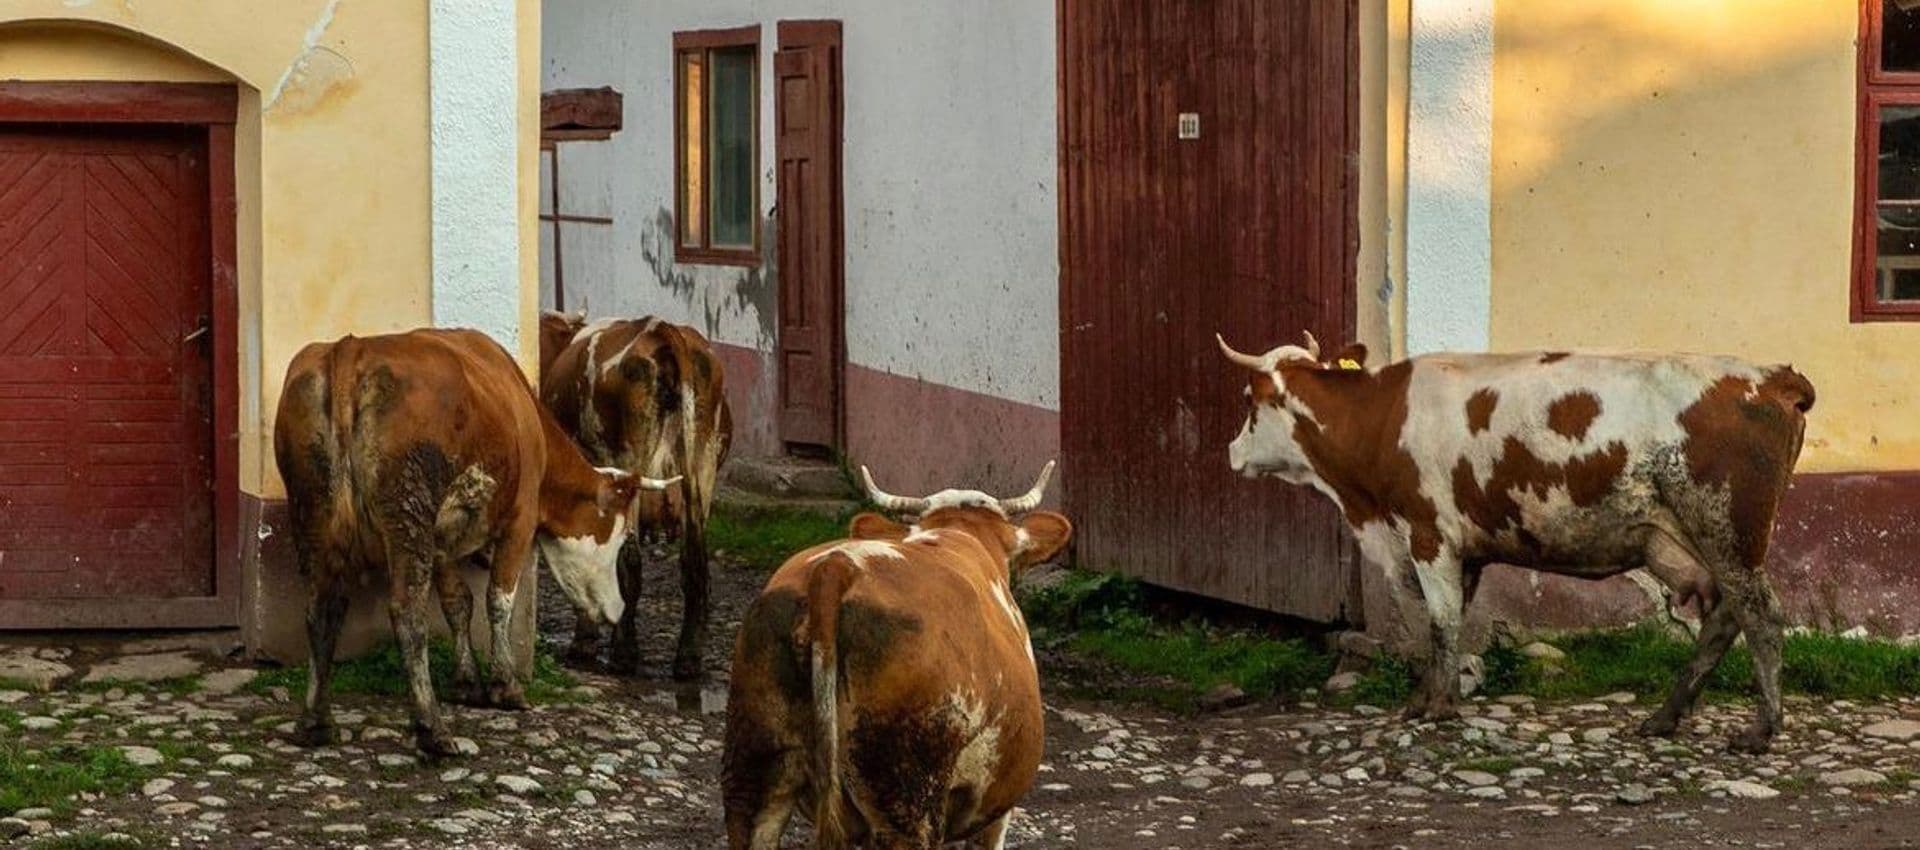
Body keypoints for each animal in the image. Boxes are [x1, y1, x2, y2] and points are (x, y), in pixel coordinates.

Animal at [274, 328, 677, 756]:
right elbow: (498, 599)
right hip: (407, 513)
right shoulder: (520, 520)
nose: (617, 609)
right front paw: (506, 685)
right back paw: (431, 728)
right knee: (407, 612)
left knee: (323, 608)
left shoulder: (441, 539)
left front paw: (467, 682)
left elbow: (457, 603)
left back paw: (317, 722)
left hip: (312, 509)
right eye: (620, 541)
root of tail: (352, 347)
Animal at [539, 312, 734, 679]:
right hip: (701, 466)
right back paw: (688, 658)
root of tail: (661, 329)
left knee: (629, 560)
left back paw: (624, 652)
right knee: (695, 565)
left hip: (628, 462)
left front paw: (584, 640)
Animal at [1217, 332, 1814, 754]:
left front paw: (1436, 707)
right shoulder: (1464, 550)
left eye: (1249, 400)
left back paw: (1762, 729)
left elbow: (1440, 622)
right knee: (1725, 619)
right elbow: (1444, 624)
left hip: (1728, 532)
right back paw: (1666, 716)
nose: (1230, 452)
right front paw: (1431, 695)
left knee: (1761, 616)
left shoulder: (1429, 533)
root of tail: (1772, 377)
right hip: (1699, 543)